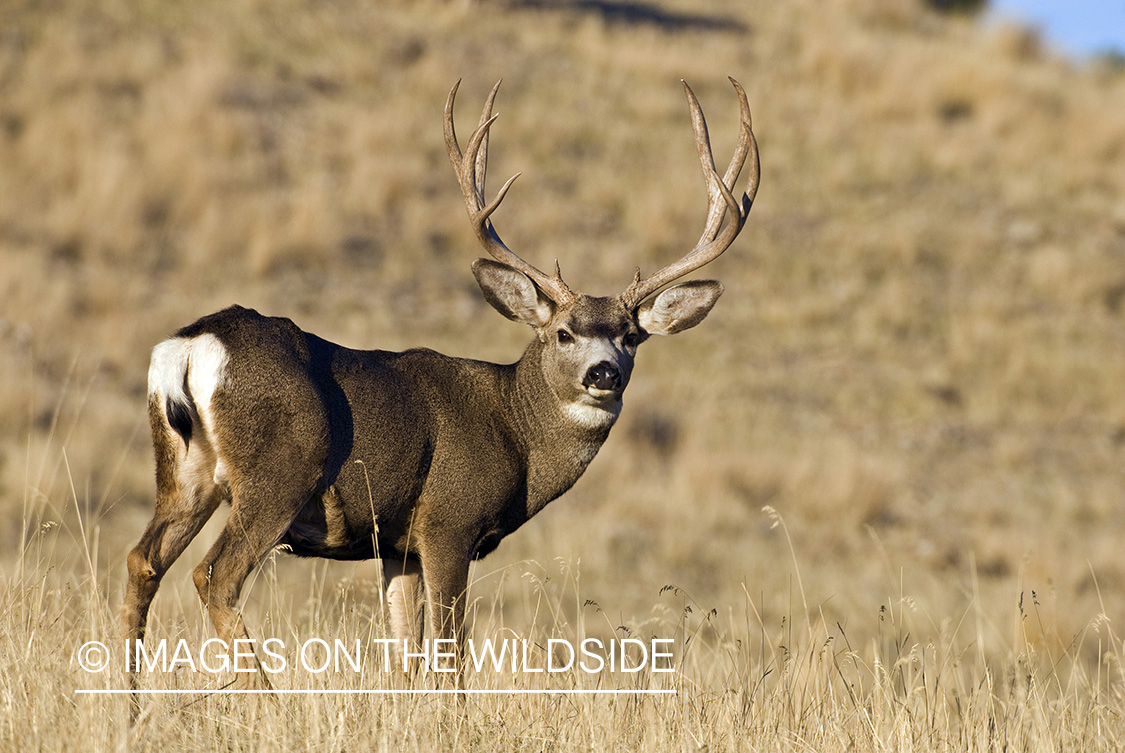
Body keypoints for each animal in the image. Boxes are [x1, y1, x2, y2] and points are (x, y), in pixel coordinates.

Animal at [121, 77, 759, 688]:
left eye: (631, 336)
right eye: (563, 333)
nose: (603, 372)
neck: (515, 431)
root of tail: (192, 343)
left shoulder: (397, 545)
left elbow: (403, 657)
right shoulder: (449, 521)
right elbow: (448, 656)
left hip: (184, 472)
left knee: (142, 561)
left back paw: (131, 706)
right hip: (281, 468)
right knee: (214, 575)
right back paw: (265, 698)